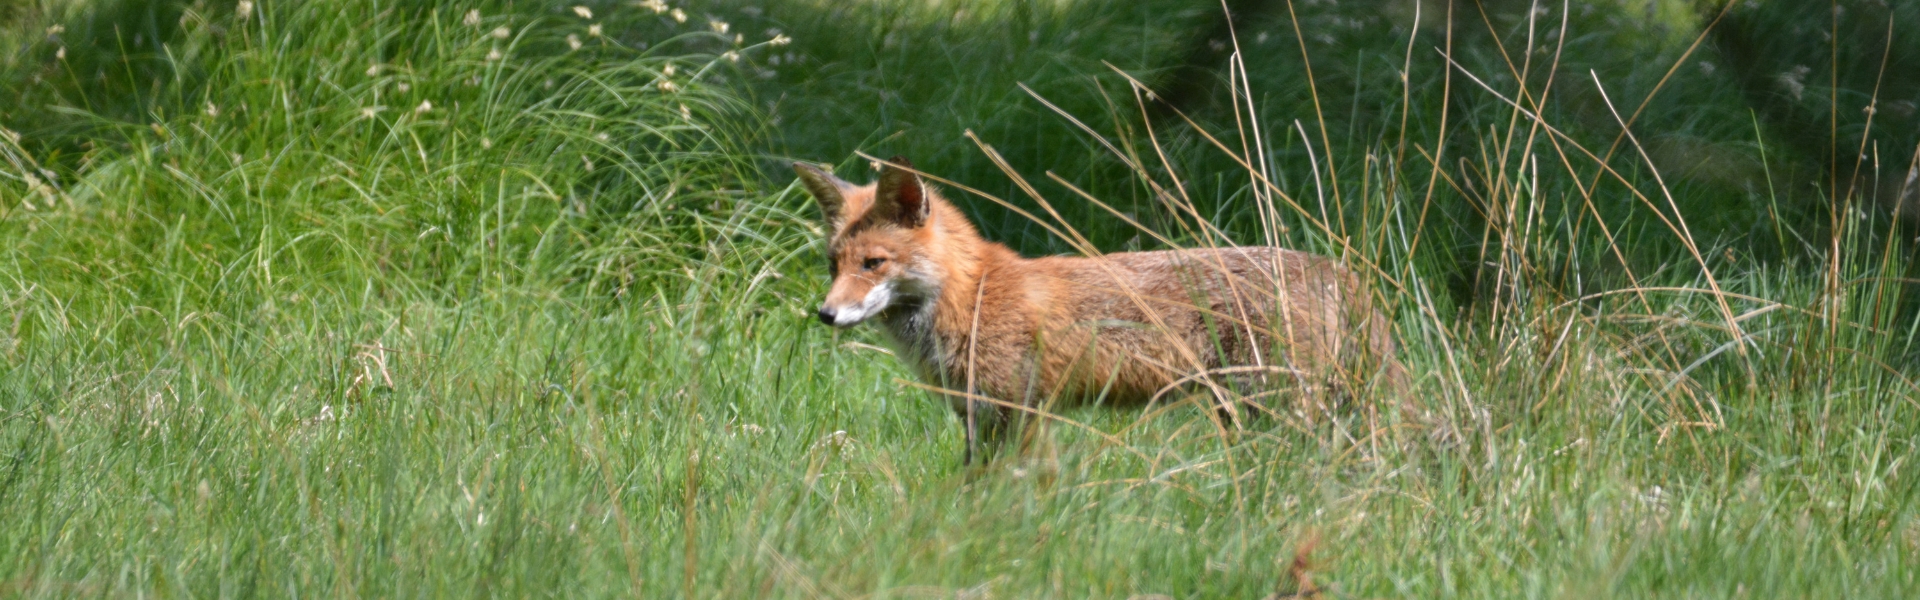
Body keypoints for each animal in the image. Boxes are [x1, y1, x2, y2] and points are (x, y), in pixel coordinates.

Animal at [794, 156, 1413, 461]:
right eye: (832, 264)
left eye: (873, 263)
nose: (825, 315)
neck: (971, 299)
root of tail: (1340, 270)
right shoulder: (978, 416)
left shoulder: (1020, 409)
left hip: (1279, 403)